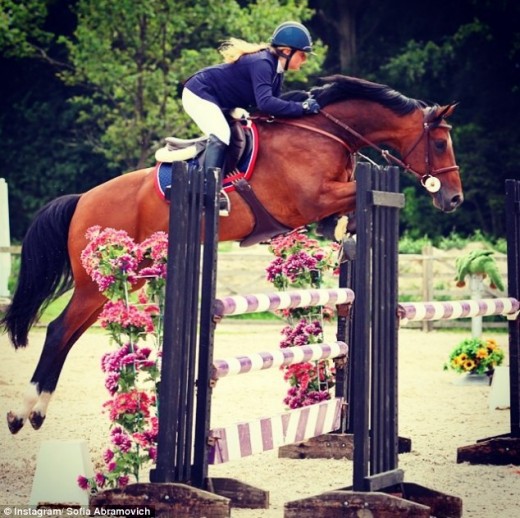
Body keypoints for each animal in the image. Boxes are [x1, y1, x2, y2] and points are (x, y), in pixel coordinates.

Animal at [1, 74, 463, 434]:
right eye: (441, 143)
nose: (454, 199)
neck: (324, 134)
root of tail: (83, 200)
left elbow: (343, 216)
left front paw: (344, 236)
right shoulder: (311, 199)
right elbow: (346, 202)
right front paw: (345, 231)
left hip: (120, 281)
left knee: (69, 335)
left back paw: (37, 412)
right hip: (94, 286)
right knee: (58, 331)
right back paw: (23, 414)